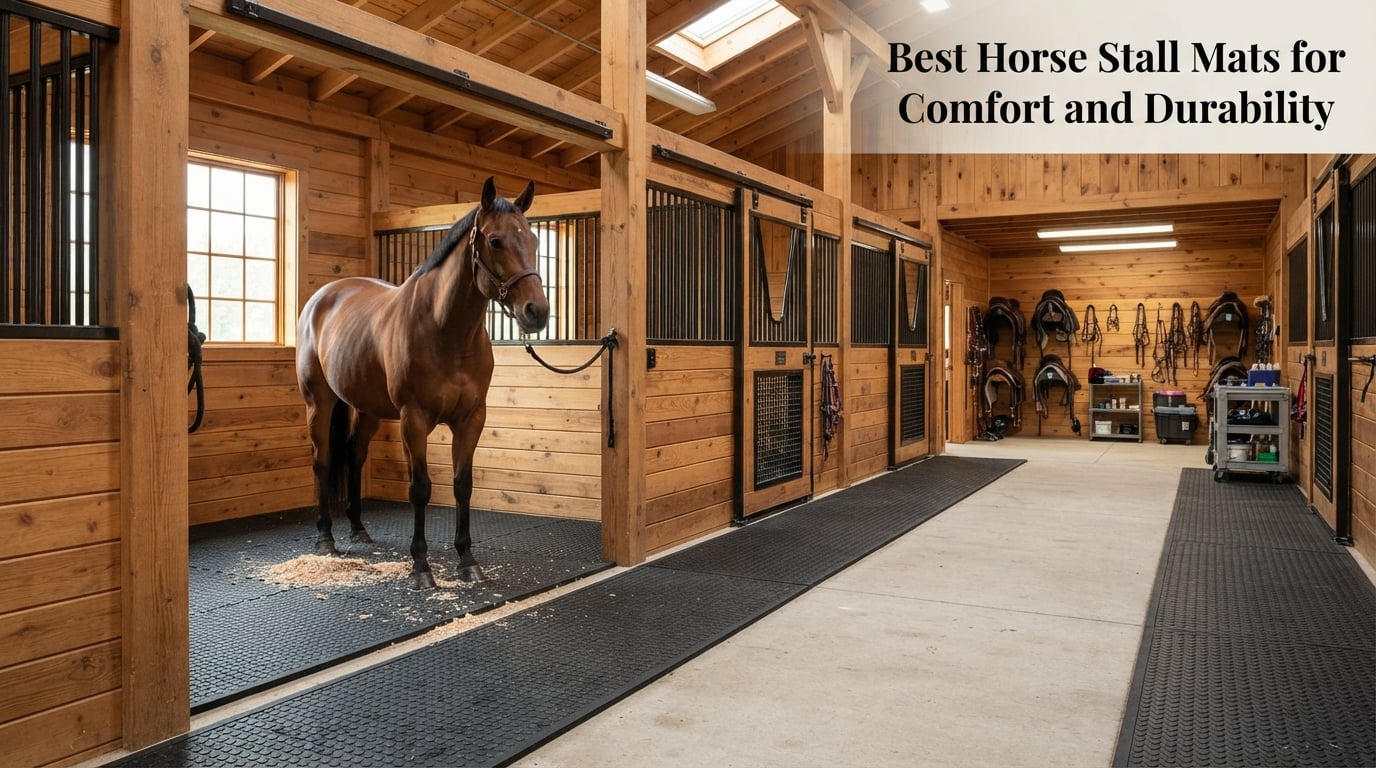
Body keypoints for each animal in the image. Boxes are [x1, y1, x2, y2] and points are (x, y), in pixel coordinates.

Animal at [296, 177, 549, 589]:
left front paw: (467, 561)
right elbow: (420, 488)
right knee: (323, 459)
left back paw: (358, 528)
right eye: (496, 241)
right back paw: (325, 538)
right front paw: (421, 567)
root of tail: (323, 297)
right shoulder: (413, 420)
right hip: (319, 401)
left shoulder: (471, 418)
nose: (537, 312)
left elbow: (463, 484)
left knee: (353, 454)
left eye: (534, 240)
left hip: (366, 408)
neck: (445, 330)